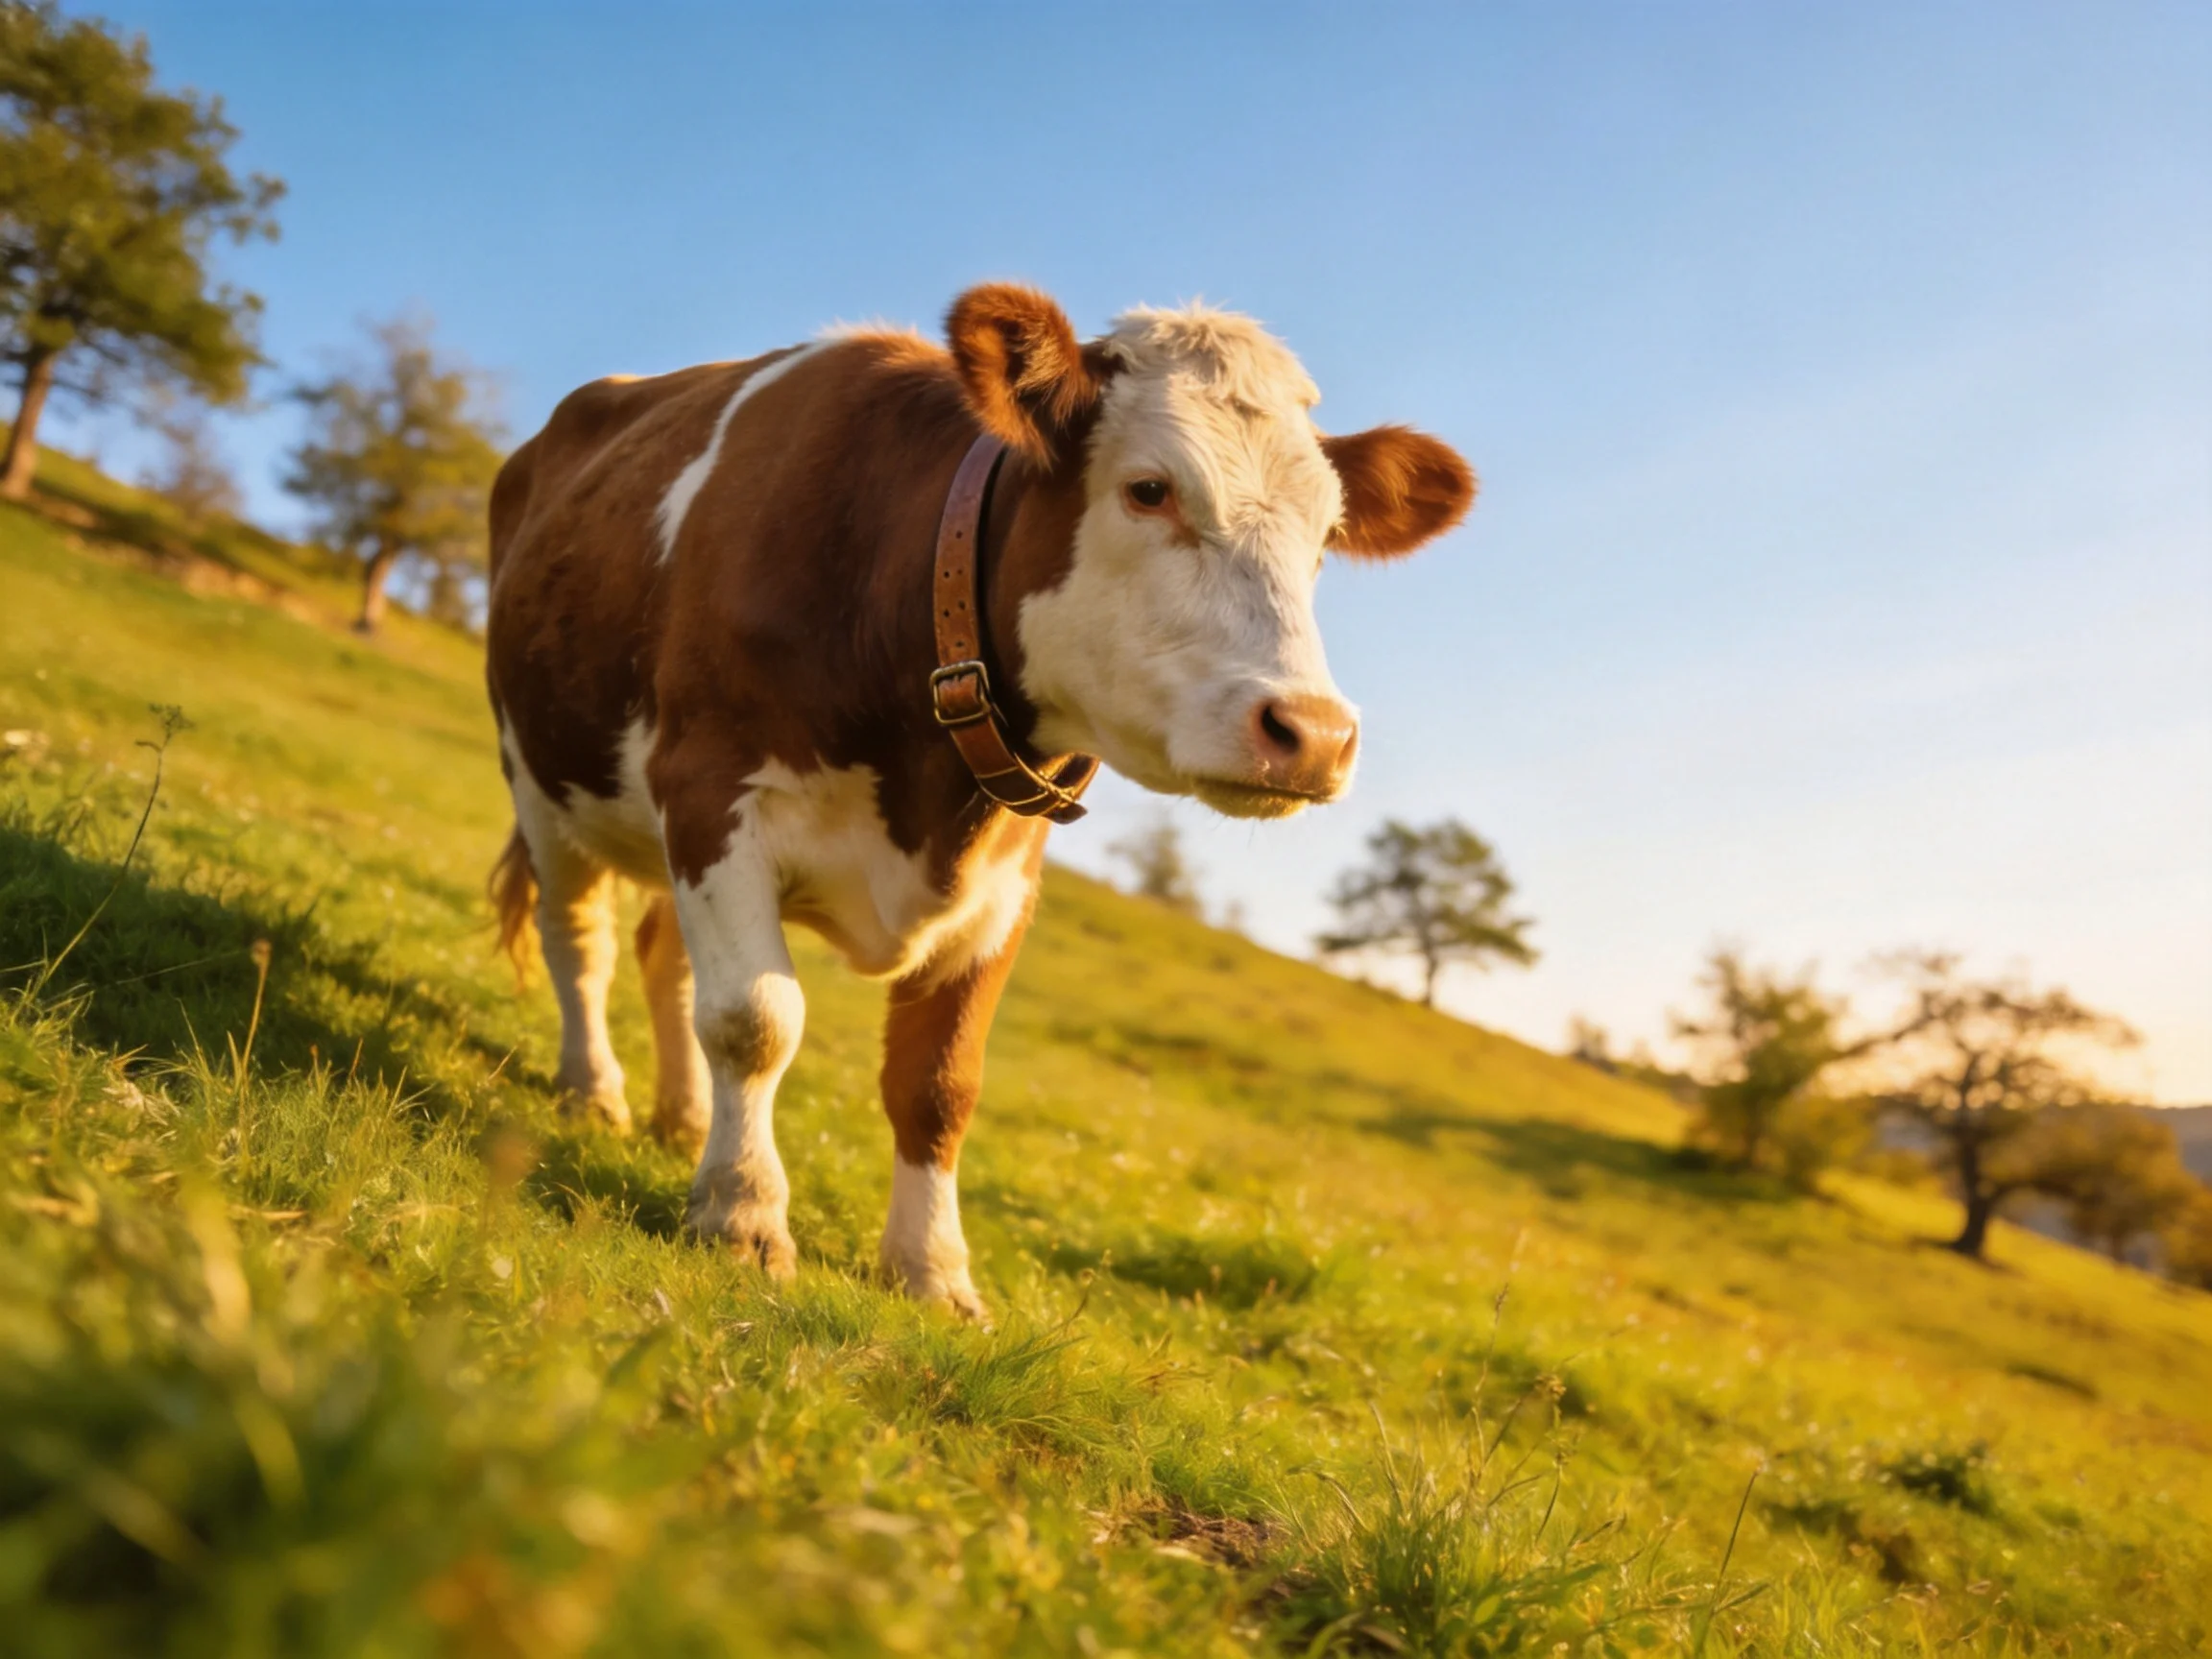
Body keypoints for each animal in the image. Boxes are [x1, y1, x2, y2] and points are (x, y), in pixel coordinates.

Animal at [485, 284, 1473, 1322]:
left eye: (1325, 542)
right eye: (1149, 489)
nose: (1314, 734)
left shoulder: (1005, 880)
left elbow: (939, 1082)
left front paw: (932, 1269)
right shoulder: (713, 791)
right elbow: (756, 1019)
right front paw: (744, 1215)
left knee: (660, 956)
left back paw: (679, 1118)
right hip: (539, 774)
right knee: (580, 938)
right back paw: (594, 1089)